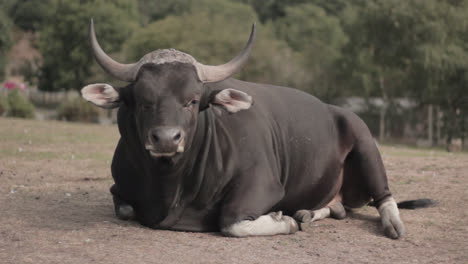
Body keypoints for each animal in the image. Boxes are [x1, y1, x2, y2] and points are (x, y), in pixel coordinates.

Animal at [81, 21, 432, 239]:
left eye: (192, 100)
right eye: (142, 100)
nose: (166, 138)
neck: (171, 186)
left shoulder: (262, 185)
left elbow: (232, 222)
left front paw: (282, 219)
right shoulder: (119, 187)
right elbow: (125, 208)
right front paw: (290, 217)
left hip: (365, 141)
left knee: (384, 196)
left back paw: (390, 225)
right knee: (338, 208)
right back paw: (308, 213)